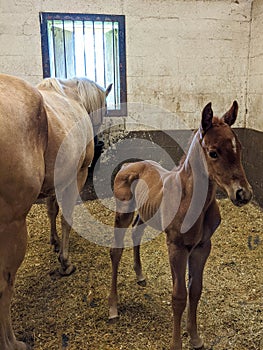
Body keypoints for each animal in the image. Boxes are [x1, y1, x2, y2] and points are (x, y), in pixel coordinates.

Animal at [0, 74, 111, 350]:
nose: (99, 142)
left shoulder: (55, 181)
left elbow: (52, 211)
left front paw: (55, 242)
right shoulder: (76, 175)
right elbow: (66, 218)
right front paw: (65, 261)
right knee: (4, 284)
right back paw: (11, 342)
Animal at [108, 101, 253, 350]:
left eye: (239, 147)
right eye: (213, 152)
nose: (243, 194)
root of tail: (130, 164)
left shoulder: (202, 247)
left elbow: (195, 291)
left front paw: (194, 337)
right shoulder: (176, 247)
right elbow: (179, 297)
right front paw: (176, 343)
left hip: (145, 214)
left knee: (137, 234)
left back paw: (140, 275)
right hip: (123, 213)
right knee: (115, 251)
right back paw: (113, 308)